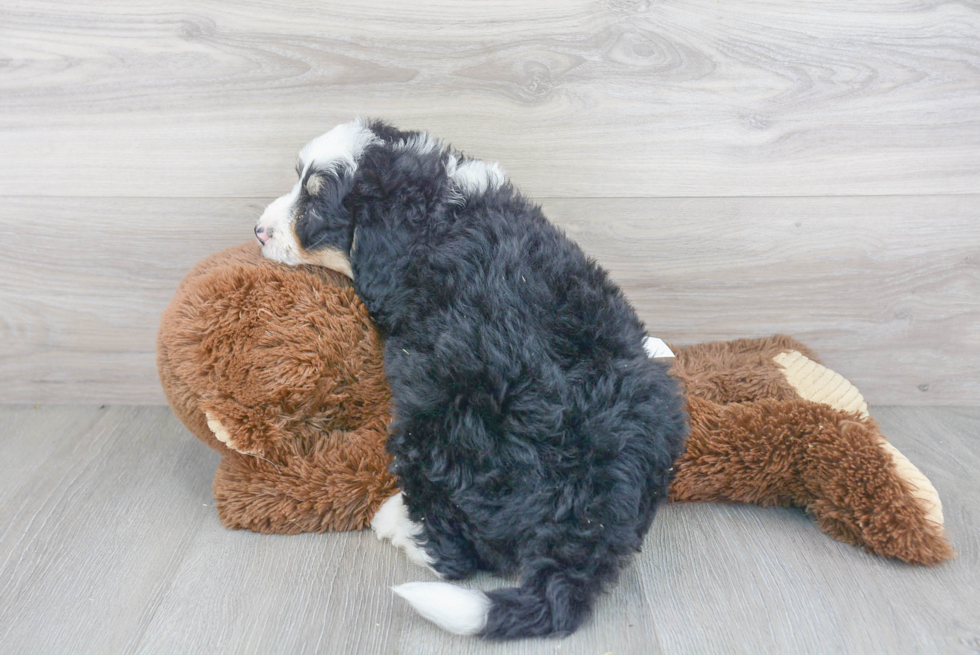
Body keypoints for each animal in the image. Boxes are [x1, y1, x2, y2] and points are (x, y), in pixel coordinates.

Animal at [260, 119, 688, 640]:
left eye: (316, 204)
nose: (258, 231)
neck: (437, 210)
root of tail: (595, 507)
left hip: (434, 425)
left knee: (458, 554)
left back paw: (395, 523)